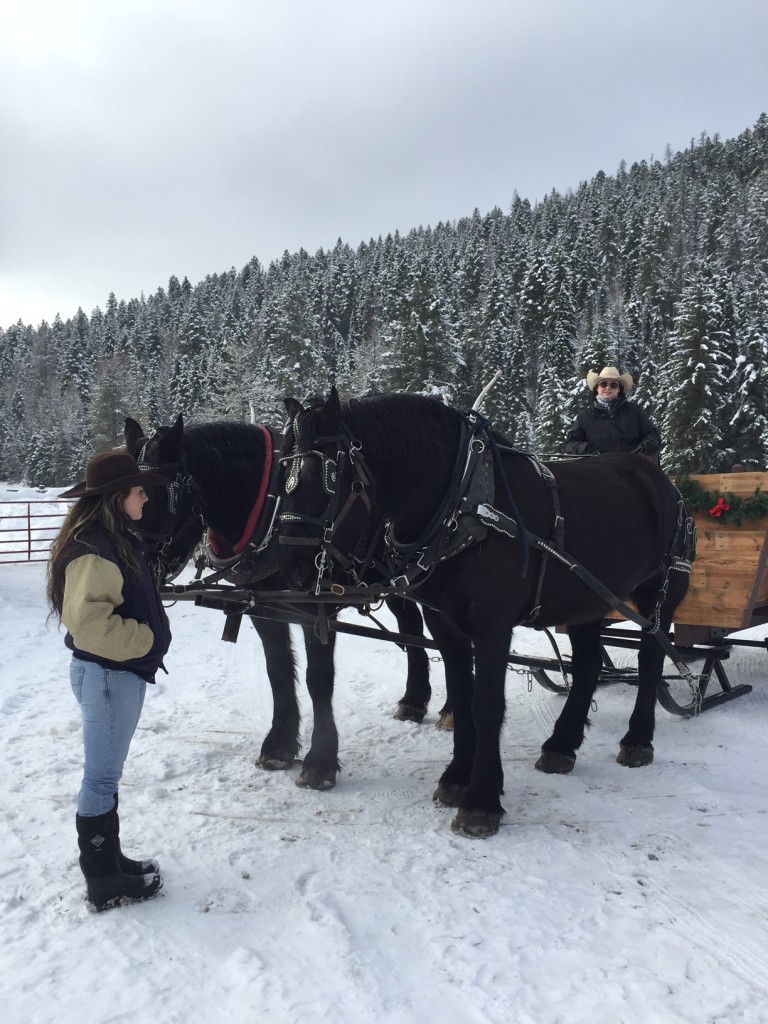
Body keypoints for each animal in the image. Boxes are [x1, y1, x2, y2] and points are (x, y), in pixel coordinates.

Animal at [123, 415, 430, 790]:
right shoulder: (263, 608)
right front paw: (279, 745)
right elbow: (279, 671)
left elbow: (318, 678)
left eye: (153, 494)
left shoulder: (318, 607)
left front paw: (320, 762)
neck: (270, 512)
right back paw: (418, 701)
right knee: (413, 625)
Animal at [278, 391, 696, 839]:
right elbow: (462, 696)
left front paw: (481, 802)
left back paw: (637, 740)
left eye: (327, 477)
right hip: (587, 601)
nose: (294, 571)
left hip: (658, 595)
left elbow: (487, 703)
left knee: (651, 662)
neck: (464, 501)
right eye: (282, 474)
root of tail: (663, 482)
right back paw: (560, 746)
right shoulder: (444, 622)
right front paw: (456, 779)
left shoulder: (493, 622)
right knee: (587, 667)